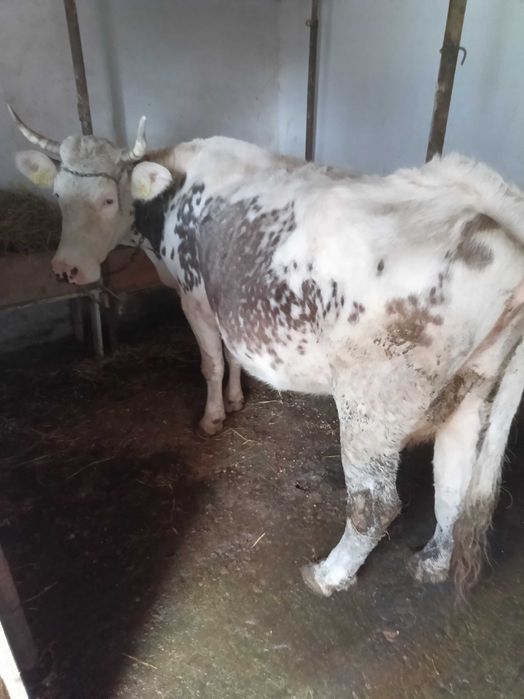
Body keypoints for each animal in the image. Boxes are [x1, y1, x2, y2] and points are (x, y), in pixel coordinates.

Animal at [10, 106, 524, 596]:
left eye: (108, 199)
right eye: (59, 195)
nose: (67, 269)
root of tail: (488, 210)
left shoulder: (194, 294)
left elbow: (211, 361)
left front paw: (213, 417)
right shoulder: (227, 302)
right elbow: (233, 355)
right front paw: (237, 399)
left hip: (371, 403)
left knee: (376, 505)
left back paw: (329, 576)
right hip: (475, 389)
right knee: (454, 481)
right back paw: (432, 563)